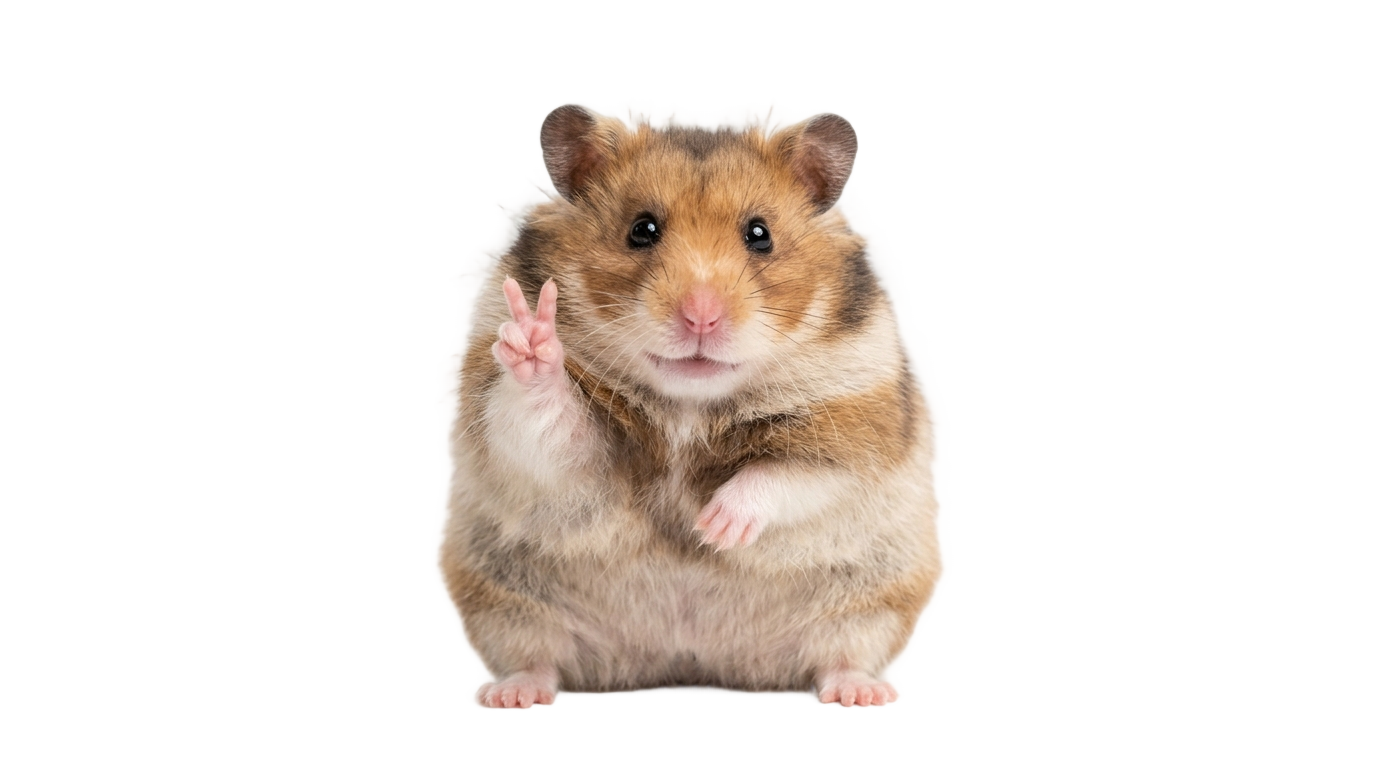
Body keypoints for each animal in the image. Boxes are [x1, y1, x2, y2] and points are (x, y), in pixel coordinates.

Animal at [441, 105, 936, 707]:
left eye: (760, 235)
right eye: (642, 229)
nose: (701, 317)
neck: (689, 405)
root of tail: (688, 659)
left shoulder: (857, 425)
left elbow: (793, 473)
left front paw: (713, 527)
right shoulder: (559, 446)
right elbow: (552, 430)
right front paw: (534, 339)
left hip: (869, 606)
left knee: (840, 658)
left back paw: (862, 696)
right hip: (507, 603)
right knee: (538, 659)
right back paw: (516, 698)